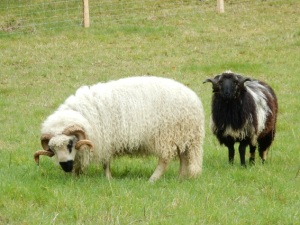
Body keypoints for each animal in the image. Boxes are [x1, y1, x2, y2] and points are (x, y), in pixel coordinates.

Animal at [34, 75, 205, 181]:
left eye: (70, 144)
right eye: (53, 149)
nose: (65, 167)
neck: (84, 114)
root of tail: (194, 100)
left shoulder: (106, 141)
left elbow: (105, 162)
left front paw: (108, 178)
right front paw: (75, 176)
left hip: (166, 136)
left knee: (165, 159)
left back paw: (153, 179)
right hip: (183, 136)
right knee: (183, 157)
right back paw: (180, 178)